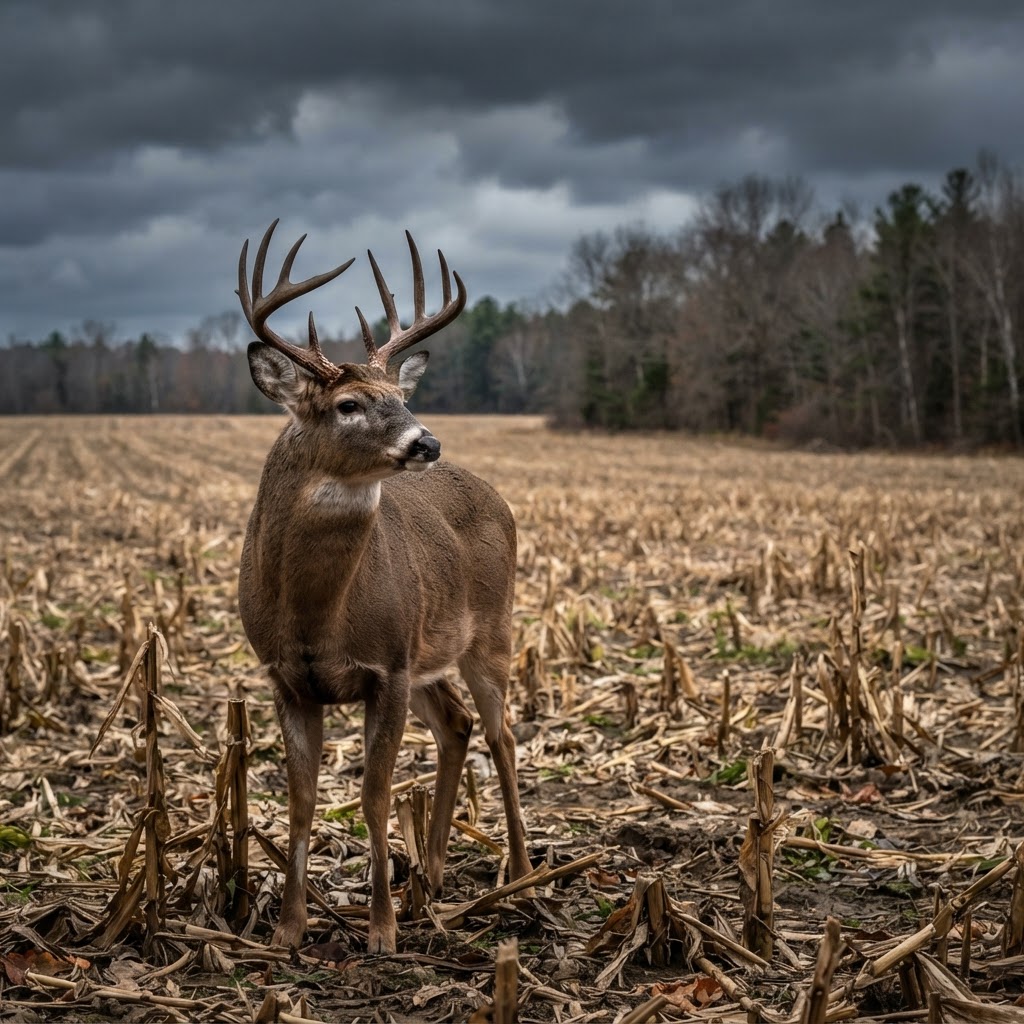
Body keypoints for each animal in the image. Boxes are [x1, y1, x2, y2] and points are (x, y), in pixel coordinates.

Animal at [235, 220, 532, 954]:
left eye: (403, 398)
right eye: (348, 404)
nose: (426, 441)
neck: (317, 613)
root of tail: (496, 495)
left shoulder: (386, 668)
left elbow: (373, 795)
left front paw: (381, 931)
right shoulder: (286, 677)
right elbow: (301, 800)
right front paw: (288, 930)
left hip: (491, 631)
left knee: (502, 736)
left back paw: (519, 875)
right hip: (430, 656)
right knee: (457, 726)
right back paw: (431, 874)